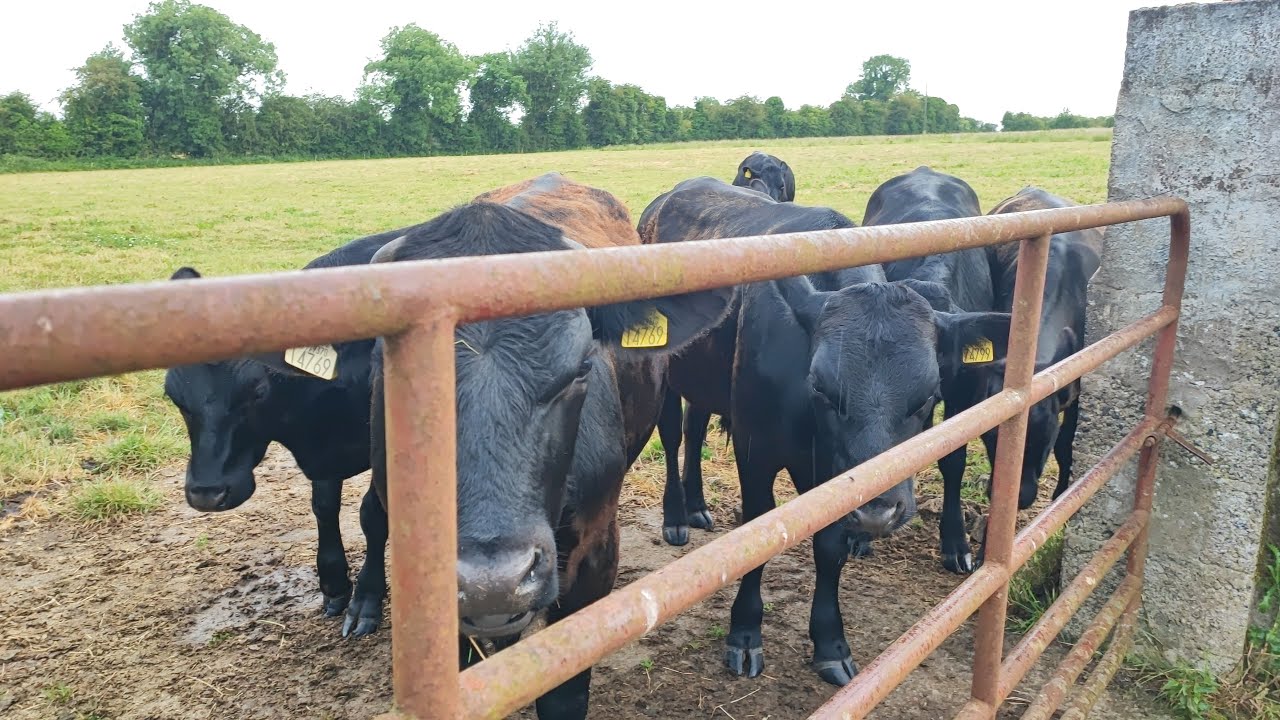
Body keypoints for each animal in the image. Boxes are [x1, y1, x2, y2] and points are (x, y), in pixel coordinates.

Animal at [163, 226, 407, 628]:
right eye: (173, 395)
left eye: (257, 391)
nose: (206, 494)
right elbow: (323, 506)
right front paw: (334, 582)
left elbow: (373, 515)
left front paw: (367, 597)